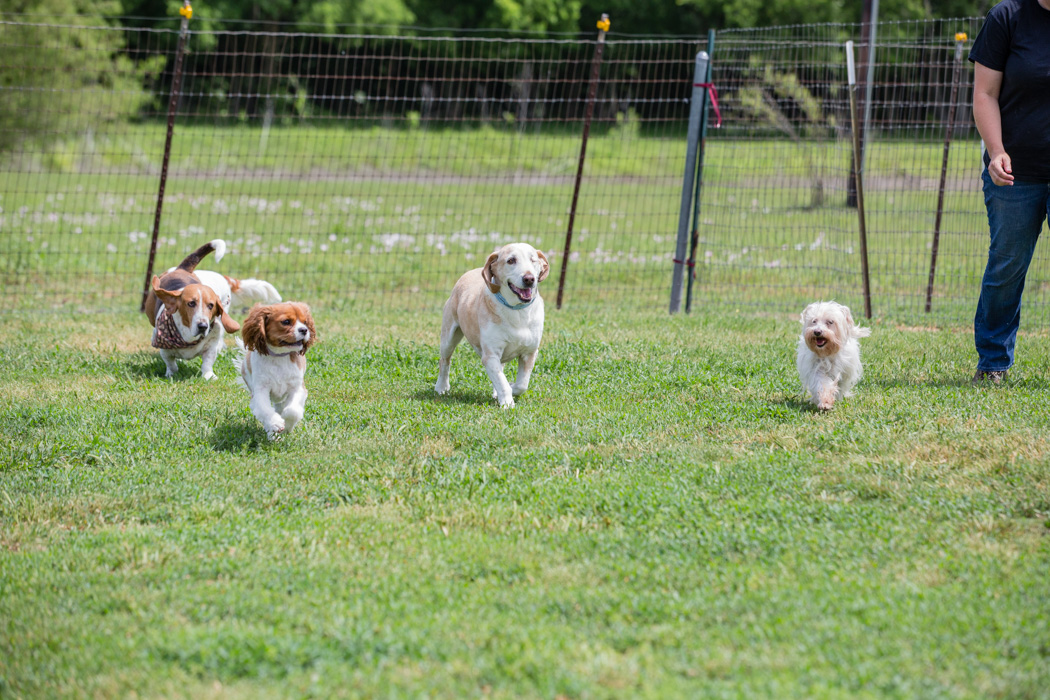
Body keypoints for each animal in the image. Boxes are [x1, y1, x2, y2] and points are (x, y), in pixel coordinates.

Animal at [145, 239, 283, 379]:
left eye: (211, 305)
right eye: (191, 303)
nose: (203, 326)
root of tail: (181, 269)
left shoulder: (211, 344)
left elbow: (207, 362)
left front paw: (208, 376)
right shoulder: (163, 347)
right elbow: (170, 362)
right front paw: (171, 374)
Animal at [236, 300, 317, 438]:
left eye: (305, 322)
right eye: (286, 322)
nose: (304, 330)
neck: (280, 356)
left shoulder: (298, 388)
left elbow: (292, 411)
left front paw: (287, 426)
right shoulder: (260, 390)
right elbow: (264, 409)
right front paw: (275, 424)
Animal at [434, 243, 550, 407]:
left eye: (533, 259)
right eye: (511, 260)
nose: (529, 278)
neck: (516, 310)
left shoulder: (530, 352)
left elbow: (522, 384)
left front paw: (512, 388)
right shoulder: (490, 355)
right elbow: (502, 382)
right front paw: (507, 403)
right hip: (448, 337)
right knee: (444, 361)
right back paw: (442, 387)